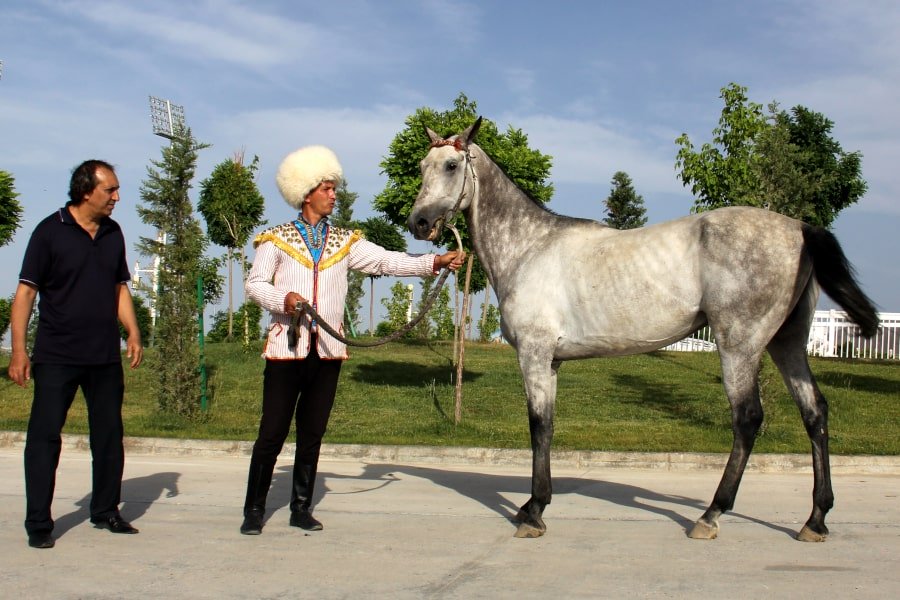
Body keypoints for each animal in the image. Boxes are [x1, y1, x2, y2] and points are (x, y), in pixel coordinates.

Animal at [410, 116, 880, 540]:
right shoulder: (553, 362)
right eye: (420, 166)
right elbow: (549, 425)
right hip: (787, 342)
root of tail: (799, 227)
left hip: (740, 344)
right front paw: (535, 504)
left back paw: (710, 516)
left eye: (451, 165)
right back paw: (815, 520)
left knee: (747, 419)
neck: (530, 247)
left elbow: (538, 425)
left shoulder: (535, 354)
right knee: (814, 412)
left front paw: (533, 512)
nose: (418, 222)